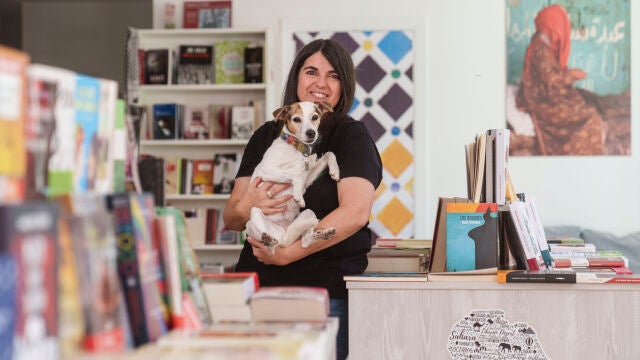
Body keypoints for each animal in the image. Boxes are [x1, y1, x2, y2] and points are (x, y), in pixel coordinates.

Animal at [245, 100, 340, 253]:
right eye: (296, 119)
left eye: (315, 117)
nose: (311, 133)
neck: (296, 148)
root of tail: (282, 234)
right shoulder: (266, 170)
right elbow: (295, 176)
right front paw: (298, 196)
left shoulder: (308, 177)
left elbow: (329, 154)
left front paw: (335, 171)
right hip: (254, 214)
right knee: (271, 247)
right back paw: (268, 240)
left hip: (309, 213)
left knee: (305, 242)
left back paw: (323, 235)